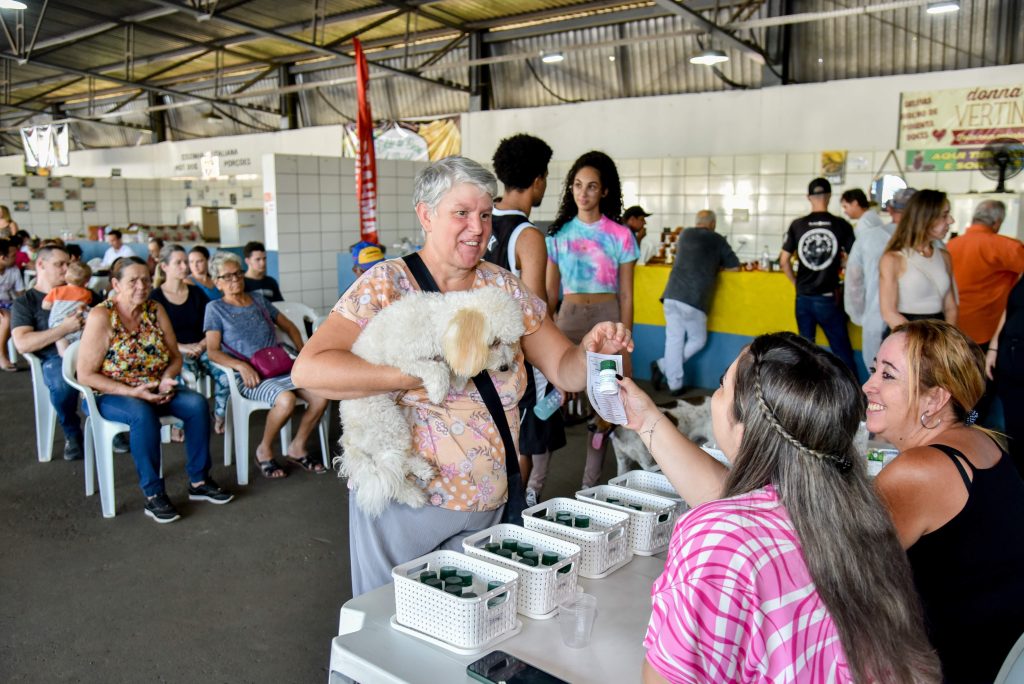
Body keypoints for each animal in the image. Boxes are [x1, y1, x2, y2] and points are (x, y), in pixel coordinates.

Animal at [339, 286, 524, 516]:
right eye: (495, 342)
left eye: (510, 342)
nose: (505, 368)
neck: (437, 322)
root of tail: (350, 436)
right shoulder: (404, 359)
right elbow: (436, 368)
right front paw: (439, 390)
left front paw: (458, 377)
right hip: (387, 422)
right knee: (391, 475)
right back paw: (414, 495)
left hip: (397, 425)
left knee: (399, 462)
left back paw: (423, 470)